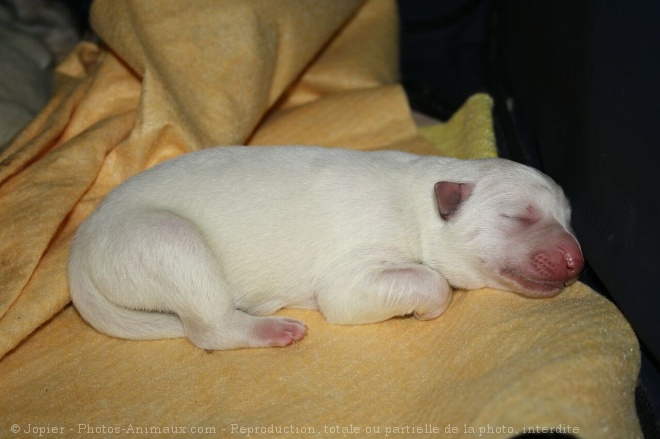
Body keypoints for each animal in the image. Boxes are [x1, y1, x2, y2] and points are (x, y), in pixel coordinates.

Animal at [67, 147, 584, 350]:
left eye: (568, 218)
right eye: (517, 216)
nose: (577, 259)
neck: (421, 202)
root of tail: (81, 241)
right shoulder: (354, 270)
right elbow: (427, 283)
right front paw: (425, 308)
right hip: (163, 241)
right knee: (210, 327)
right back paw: (270, 329)